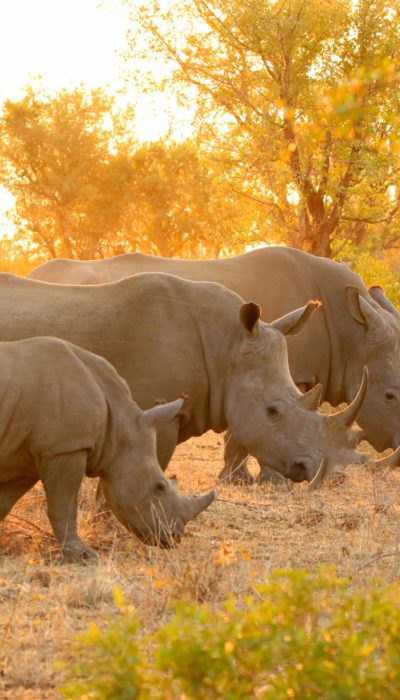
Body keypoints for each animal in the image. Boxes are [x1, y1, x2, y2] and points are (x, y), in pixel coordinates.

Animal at [0, 335, 216, 561]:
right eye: (159, 487)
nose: (175, 537)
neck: (119, 426)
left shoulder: (29, 455)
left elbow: (5, 502)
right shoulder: (66, 447)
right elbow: (64, 506)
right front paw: (83, 556)